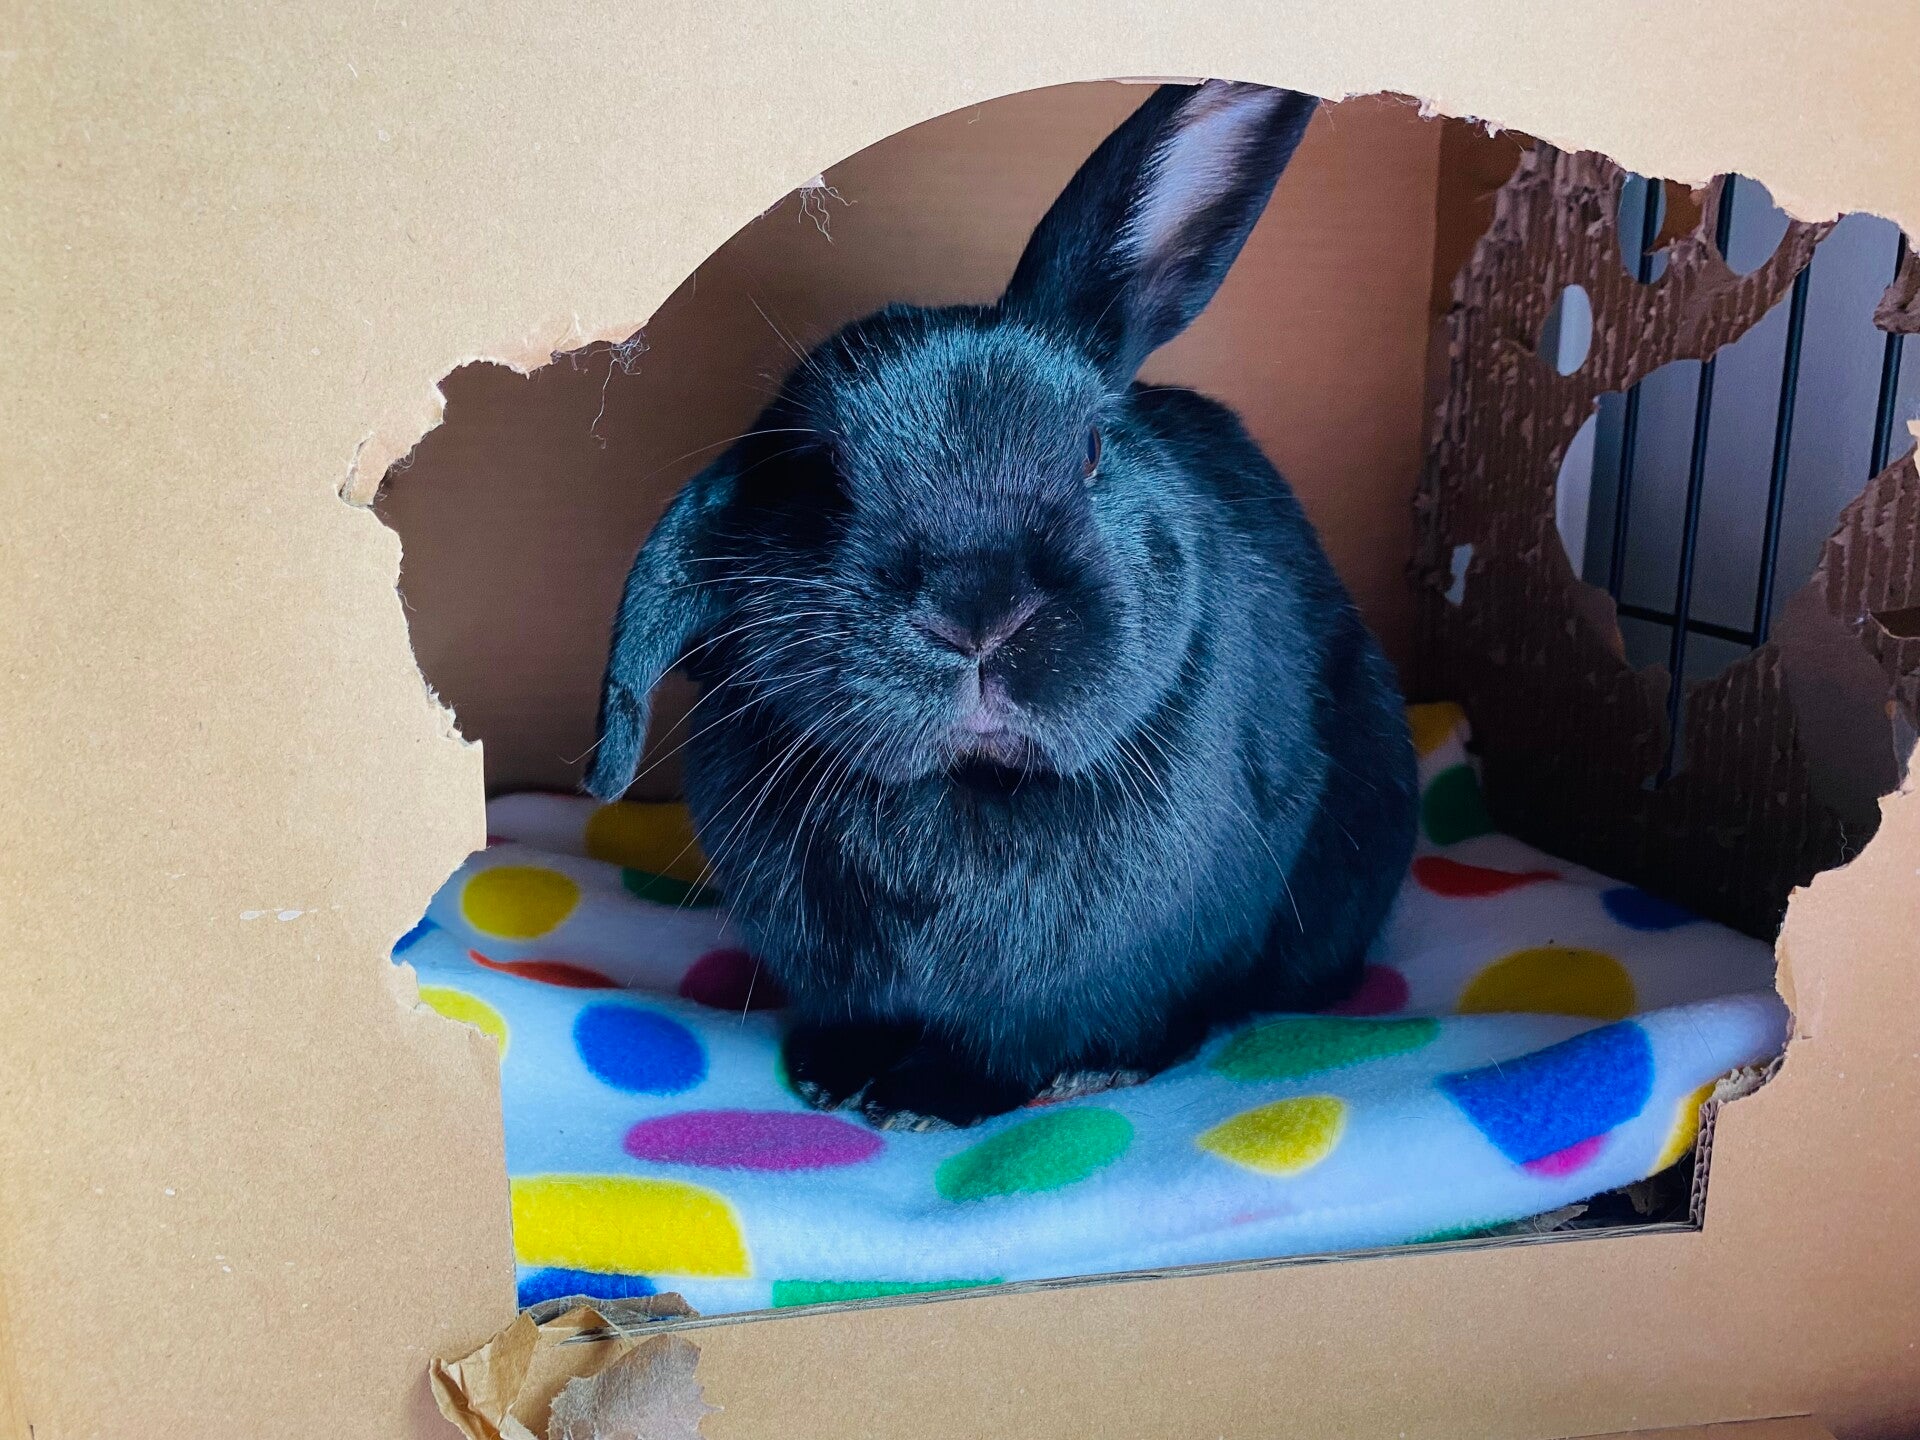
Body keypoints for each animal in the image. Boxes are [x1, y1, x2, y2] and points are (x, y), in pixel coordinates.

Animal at [585, 80, 1418, 1129]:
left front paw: (928, 1103)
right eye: (818, 474)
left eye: (1093, 450)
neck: (967, 784)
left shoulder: (1090, 982)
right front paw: (831, 1074)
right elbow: (854, 1017)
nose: (977, 612)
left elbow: (1017, 1043)